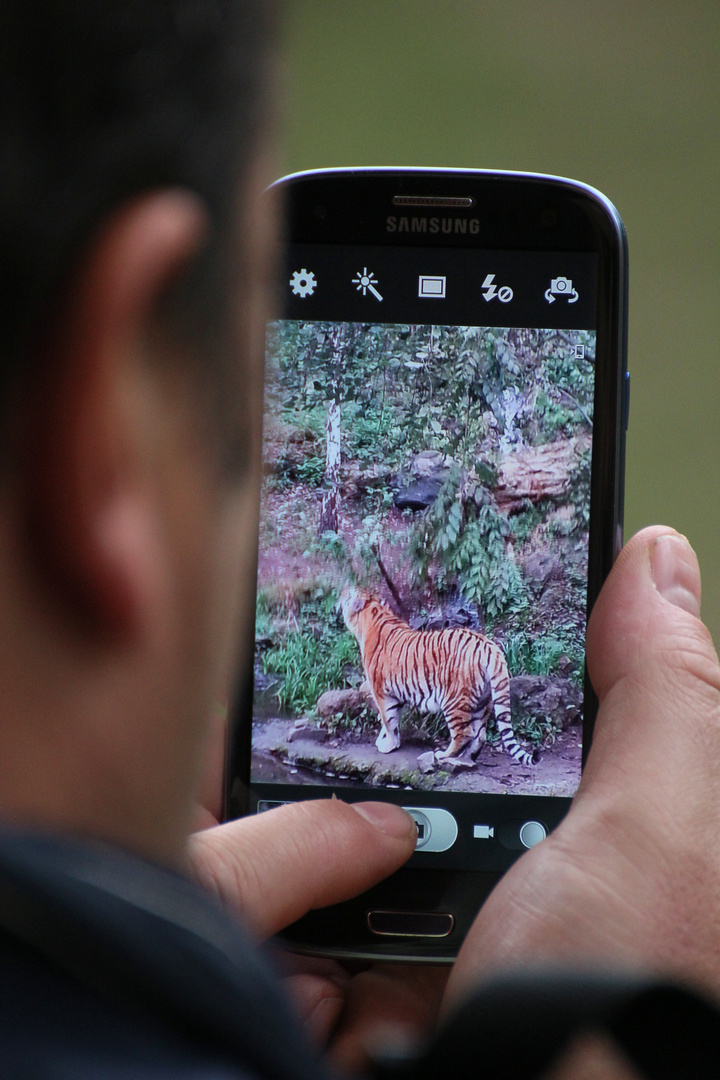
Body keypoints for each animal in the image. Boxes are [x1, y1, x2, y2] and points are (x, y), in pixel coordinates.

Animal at [341, 591, 537, 768]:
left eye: (349, 595)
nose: (341, 596)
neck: (375, 615)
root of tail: (489, 646)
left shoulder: (381, 691)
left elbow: (389, 720)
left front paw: (388, 745)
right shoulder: (397, 694)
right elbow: (392, 719)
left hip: (454, 700)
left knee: (464, 733)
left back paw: (444, 755)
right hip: (483, 700)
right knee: (480, 735)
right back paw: (466, 757)